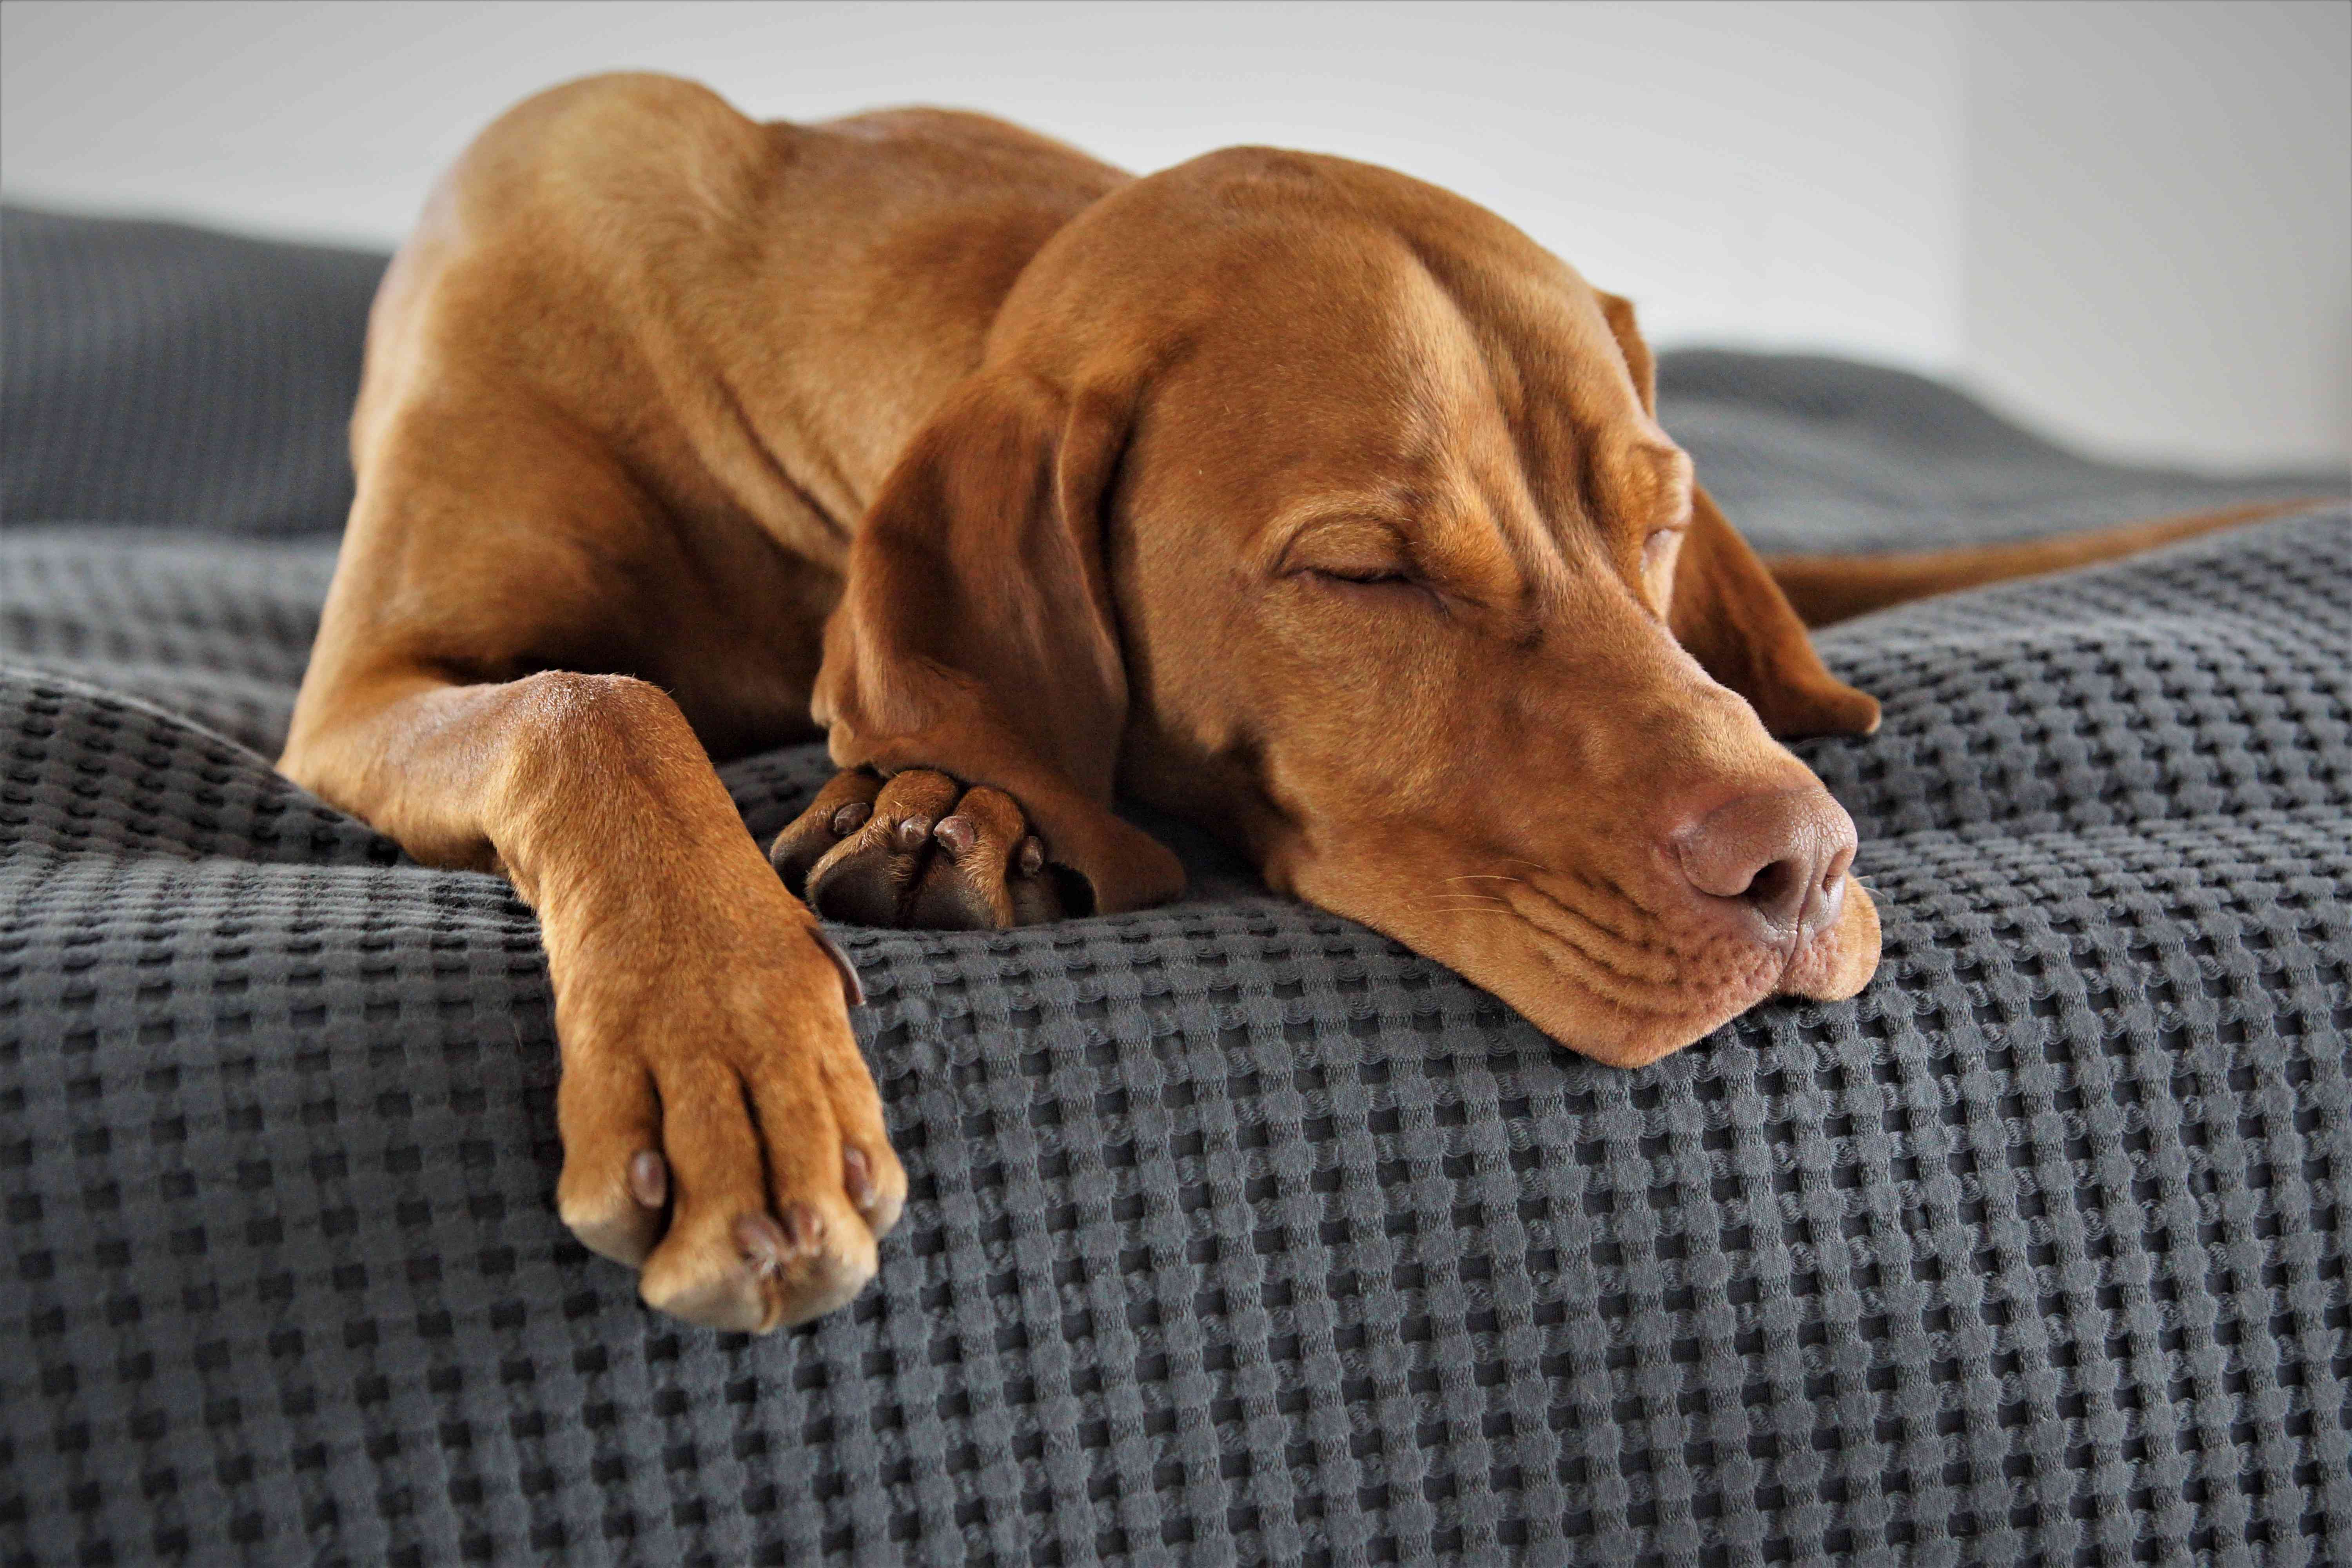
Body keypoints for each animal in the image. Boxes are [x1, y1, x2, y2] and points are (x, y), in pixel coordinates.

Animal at [280, 70, 2296, 1326]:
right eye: (1363, 571)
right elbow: (594, 702)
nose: (1801, 870)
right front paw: (727, 1061)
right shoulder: (364, 688)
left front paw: (944, 806)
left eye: (1652, 515)